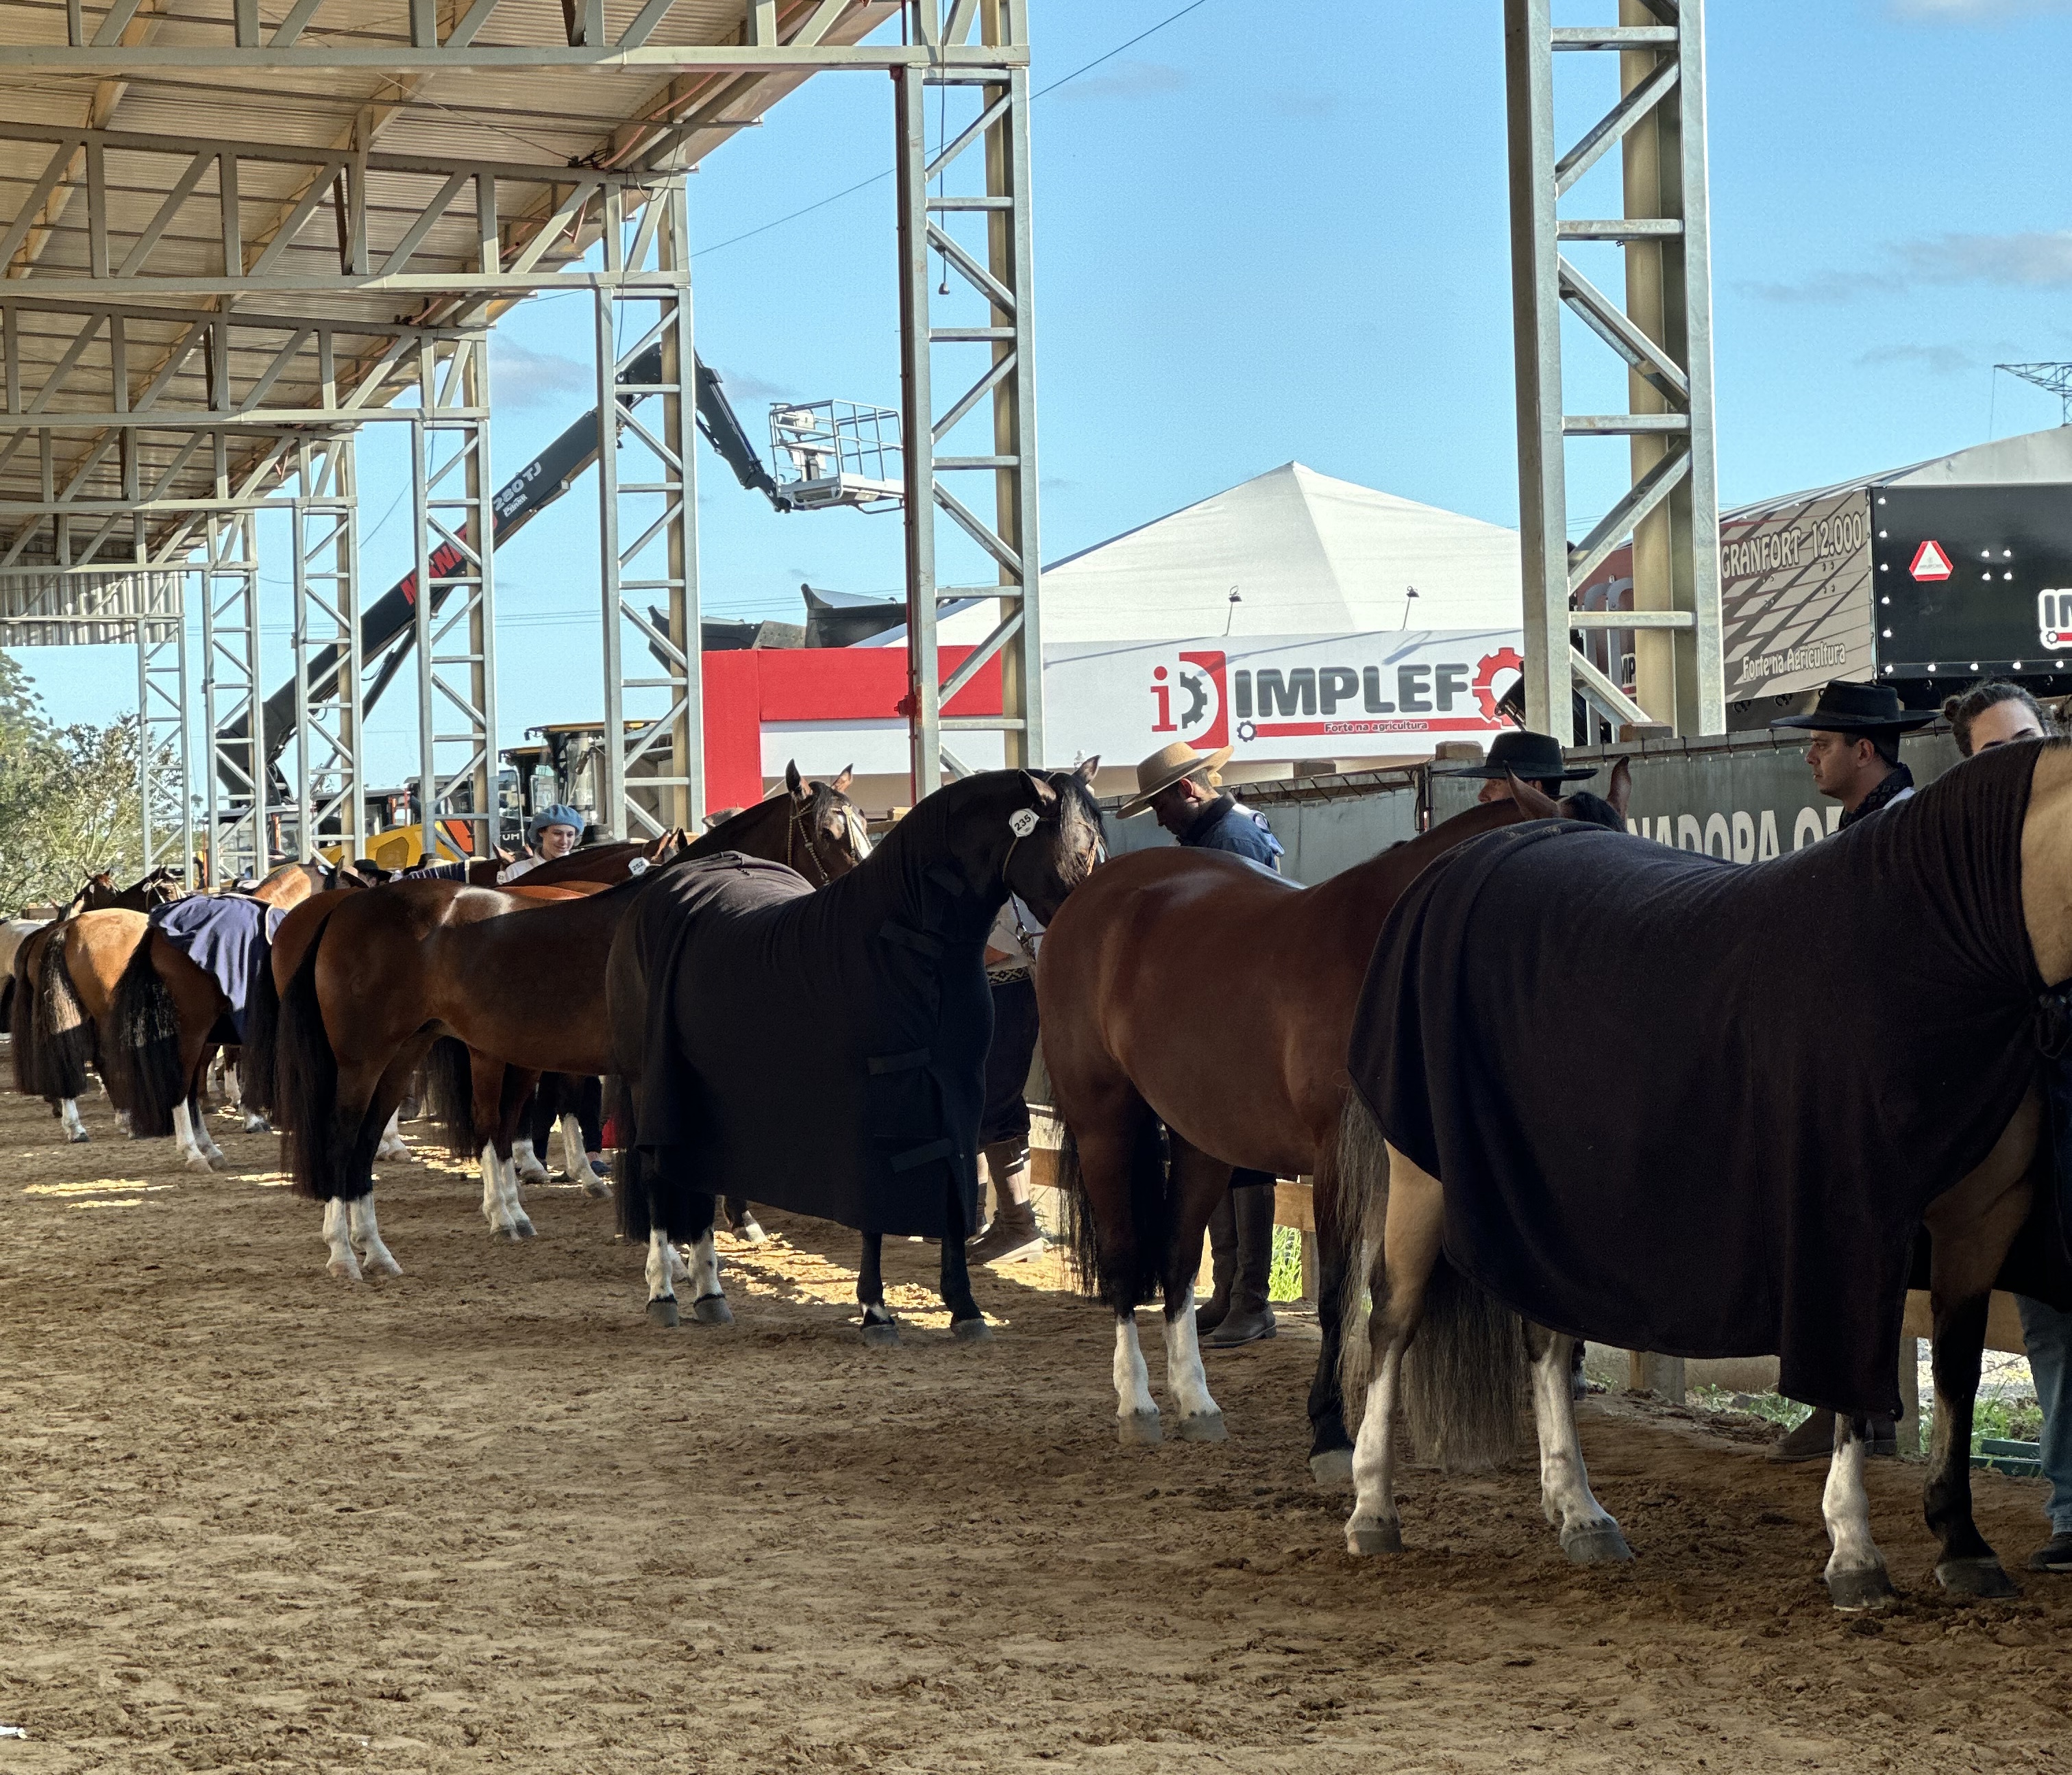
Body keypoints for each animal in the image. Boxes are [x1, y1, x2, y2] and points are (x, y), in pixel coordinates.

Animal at [267, 769, 870, 1279]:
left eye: (864, 823)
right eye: (826, 831)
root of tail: (342, 908)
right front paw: (678, 1258)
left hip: (406, 1053)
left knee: (369, 1140)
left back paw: (378, 1249)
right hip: (364, 1059)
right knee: (344, 1137)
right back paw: (345, 1254)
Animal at [605, 762, 1104, 1338]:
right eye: (1079, 846)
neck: (908, 944)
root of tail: (657, 890)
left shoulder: (958, 1093)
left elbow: (954, 1191)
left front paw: (964, 1307)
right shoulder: (873, 1105)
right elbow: (874, 1207)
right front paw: (876, 1310)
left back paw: (711, 1291)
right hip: (648, 1082)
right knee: (656, 1177)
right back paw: (663, 1291)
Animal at [1039, 771, 1627, 1469]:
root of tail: (1091, 896)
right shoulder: (1336, 1164)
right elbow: (1340, 1296)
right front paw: (1331, 1432)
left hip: (1200, 1137)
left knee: (1179, 1259)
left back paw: (1197, 1403)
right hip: (1105, 1122)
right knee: (1127, 1254)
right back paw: (1137, 1404)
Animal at [1334, 737, 2072, 1610]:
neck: (1940, 948)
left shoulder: (1978, 1220)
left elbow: (1956, 1371)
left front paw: (1963, 1543)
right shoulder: (1845, 1219)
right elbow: (1853, 1382)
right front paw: (1855, 1551)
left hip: (1545, 1203)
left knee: (1544, 1334)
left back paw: (1581, 1513)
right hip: (1423, 1180)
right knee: (1393, 1321)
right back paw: (1372, 1509)